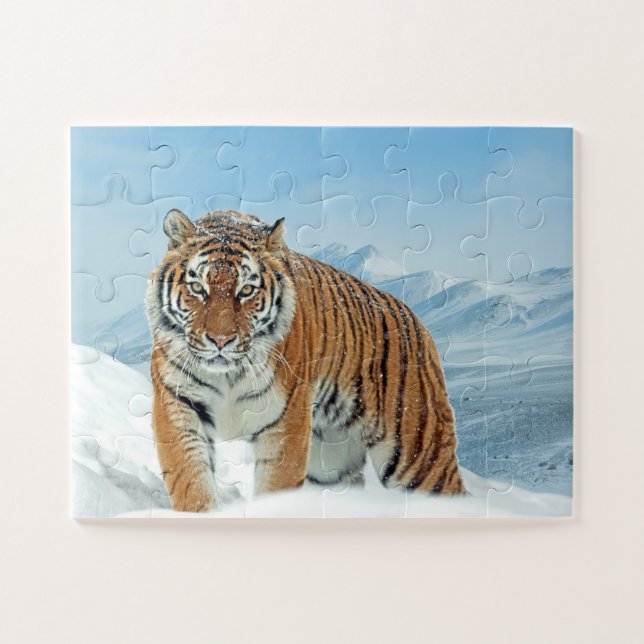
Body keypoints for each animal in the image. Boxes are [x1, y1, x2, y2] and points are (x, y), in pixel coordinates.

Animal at [146, 208, 465, 512]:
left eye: (246, 290)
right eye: (198, 288)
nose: (221, 340)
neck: (228, 375)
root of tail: (418, 322)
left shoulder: (286, 421)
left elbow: (276, 487)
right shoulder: (177, 403)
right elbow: (190, 479)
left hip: (420, 455)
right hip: (332, 463)